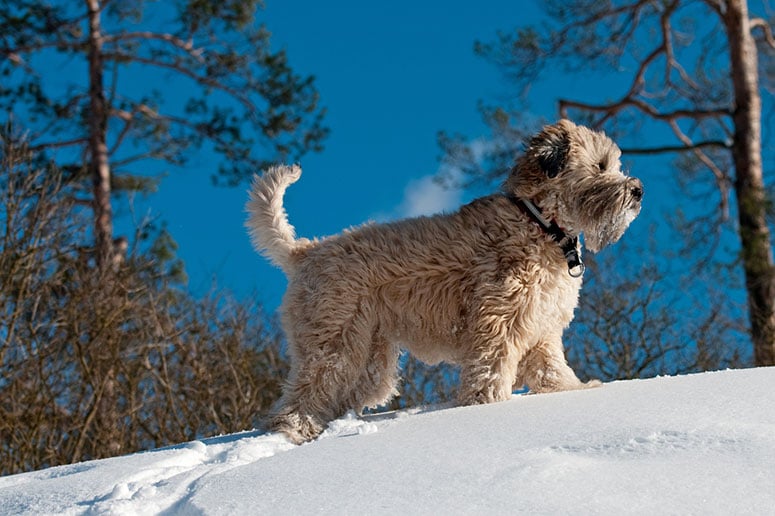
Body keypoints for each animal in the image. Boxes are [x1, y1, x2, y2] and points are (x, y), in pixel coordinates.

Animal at [247, 119, 644, 442]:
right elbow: (491, 371)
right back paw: (293, 430)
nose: (638, 191)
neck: (540, 223)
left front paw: (575, 389)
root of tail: (304, 251)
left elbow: (552, 369)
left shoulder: (540, 328)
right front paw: (486, 405)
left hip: (369, 357)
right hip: (333, 343)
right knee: (303, 394)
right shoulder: (499, 321)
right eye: (601, 165)